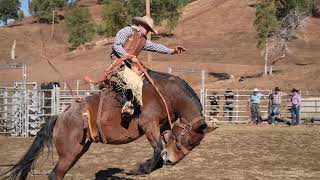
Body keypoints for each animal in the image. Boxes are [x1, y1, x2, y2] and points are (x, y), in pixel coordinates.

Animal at [1, 56, 212, 180]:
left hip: (77, 151)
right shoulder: (148, 124)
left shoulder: (163, 127)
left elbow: (160, 150)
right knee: (54, 175)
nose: (172, 161)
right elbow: (158, 150)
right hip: (68, 153)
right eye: (189, 141)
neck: (166, 94)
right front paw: (138, 169)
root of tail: (60, 116)